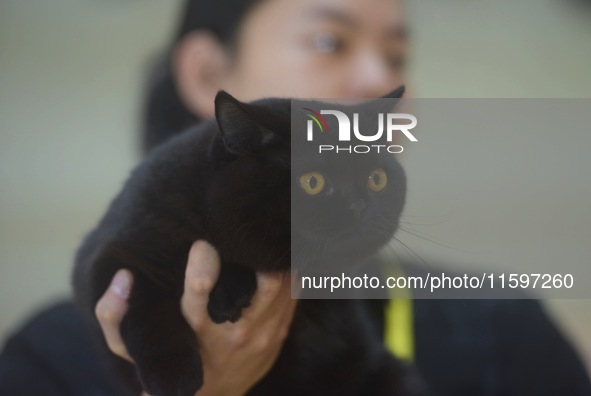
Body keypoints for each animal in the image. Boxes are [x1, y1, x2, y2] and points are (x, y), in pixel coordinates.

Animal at [74, 87, 428, 396]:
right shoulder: (112, 252)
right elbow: (145, 304)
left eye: (377, 179)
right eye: (312, 182)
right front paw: (173, 377)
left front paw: (228, 292)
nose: (359, 206)